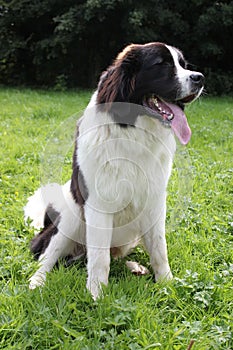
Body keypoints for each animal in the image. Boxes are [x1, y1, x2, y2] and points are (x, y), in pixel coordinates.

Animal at [24, 41, 205, 298]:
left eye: (183, 65)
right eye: (162, 65)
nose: (199, 77)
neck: (134, 132)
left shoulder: (154, 201)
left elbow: (159, 248)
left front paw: (166, 284)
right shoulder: (99, 204)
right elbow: (99, 258)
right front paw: (96, 295)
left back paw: (136, 267)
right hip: (69, 219)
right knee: (48, 257)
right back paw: (36, 282)